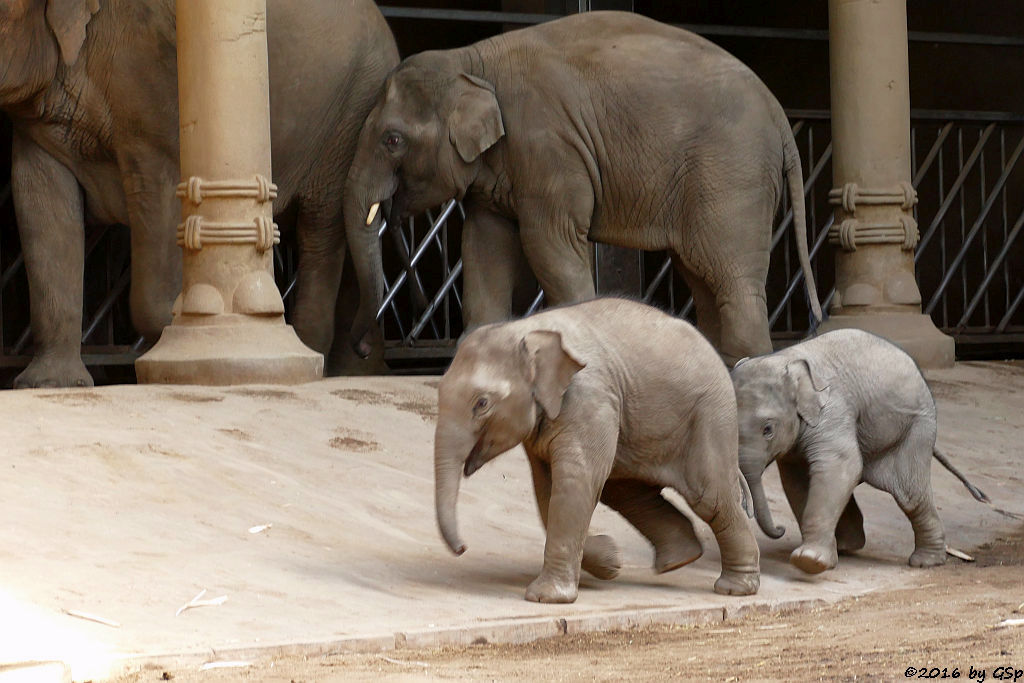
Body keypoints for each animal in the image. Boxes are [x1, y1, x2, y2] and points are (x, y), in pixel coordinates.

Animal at [0, 0, 397, 387]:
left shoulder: (151, 82)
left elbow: (159, 190)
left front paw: (178, 351)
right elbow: (43, 209)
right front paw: (51, 384)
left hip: (349, 117)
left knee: (321, 229)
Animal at [344, 10, 823, 362]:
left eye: (392, 140)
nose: (363, 347)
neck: (469, 61)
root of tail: (779, 114)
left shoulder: (548, 147)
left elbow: (548, 243)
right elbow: (484, 245)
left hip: (733, 173)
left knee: (730, 277)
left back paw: (748, 369)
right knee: (702, 276)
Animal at [432, 299, 761, 602]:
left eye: (482, 403)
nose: (463, 548)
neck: (525, 329)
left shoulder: (590, 399)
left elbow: (574, 482)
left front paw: (546, 597)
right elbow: (548, 489)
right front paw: (610, 562)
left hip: (710, 415)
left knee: (710, 498)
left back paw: (734, 588)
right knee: (626, 492)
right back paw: (679, 560)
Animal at [733, 327, 987, 573]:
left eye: (768, 429)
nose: (780, 528)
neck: (783, 359)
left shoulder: (833, 411)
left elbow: (838, 466)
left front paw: (809, 561)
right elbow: (799, 481)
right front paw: (822, 557)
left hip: (917, 428)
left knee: (910, 493)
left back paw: (925, 562)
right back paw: (847, 546)